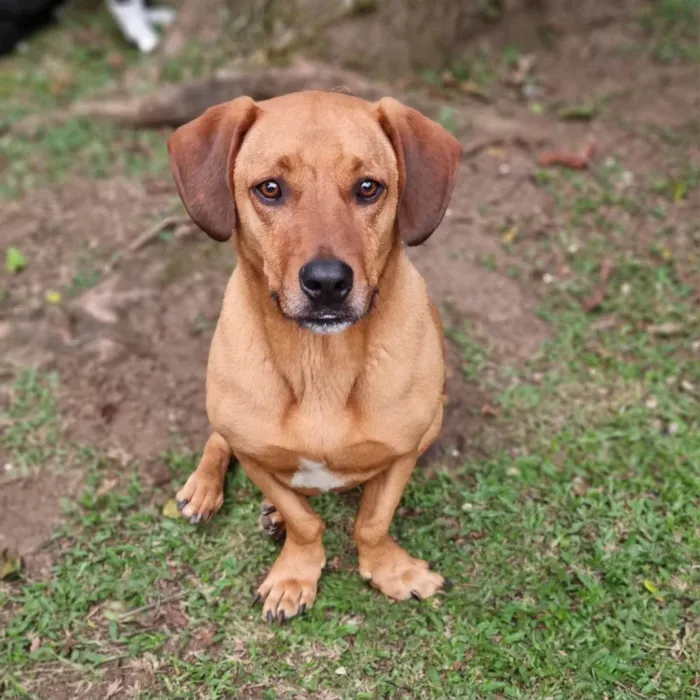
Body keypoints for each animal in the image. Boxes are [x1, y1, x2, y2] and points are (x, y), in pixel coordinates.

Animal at [169, 89, 462, 624]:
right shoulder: (255, 456)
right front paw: (294, 573)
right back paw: (206, 487)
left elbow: (372, 521)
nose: (327, 283)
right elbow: (304, 521)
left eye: (368, 187)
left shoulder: (404, 451)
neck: (319, 364)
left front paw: (391, 570)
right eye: (269, 188)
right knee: (219, 440)